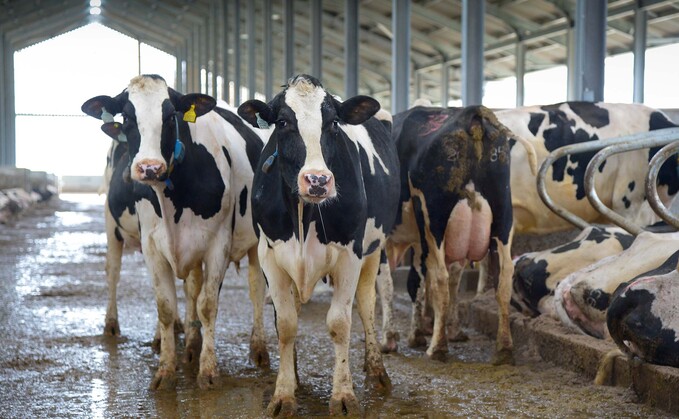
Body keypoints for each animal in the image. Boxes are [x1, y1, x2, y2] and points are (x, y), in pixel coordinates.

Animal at [82, 74, 269, 390]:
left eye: (171, 116)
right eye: (127, 117)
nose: (149, 167)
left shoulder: (218, 243)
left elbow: (207, 304)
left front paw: (208, 371)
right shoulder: (152, 245)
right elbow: (165, 306)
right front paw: (165, 371)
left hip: (254, 242)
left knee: (254, 288)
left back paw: (256, 350)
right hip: (111, 224)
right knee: (113, 271)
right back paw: (116, 326)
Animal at [237, 74, 399, 416]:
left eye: (334, 123)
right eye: (283, 122)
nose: (317, 180)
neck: (306, 213)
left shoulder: (350, 254)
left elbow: (340, 323)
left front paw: (343, 395)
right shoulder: (270, 255)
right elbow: (285, 324)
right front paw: (284, 393)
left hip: (374, 249)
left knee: (367, 301)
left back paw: (376, 370)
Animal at [384, 104, 537, 364]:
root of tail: (472, 113)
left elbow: (390, 284)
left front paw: (392, 339)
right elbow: (427, 281)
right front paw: (439, 330)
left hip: (434, 222)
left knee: (440, 278)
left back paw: (437, 347)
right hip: (503, 218)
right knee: (503, 280)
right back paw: (504, 349)